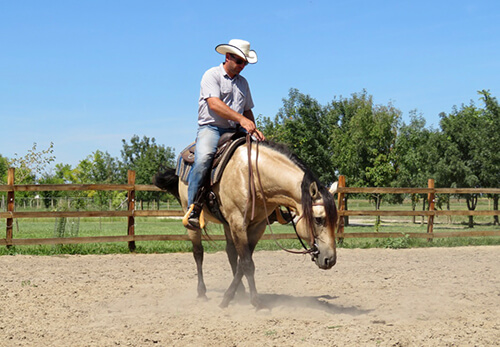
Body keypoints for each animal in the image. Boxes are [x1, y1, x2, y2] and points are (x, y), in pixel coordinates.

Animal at [154, 137, 338, 308]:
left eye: (335, 220)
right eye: (318, 219)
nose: (330, 260)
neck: (254, 178)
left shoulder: (257, 226)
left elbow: (243, 262)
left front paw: (232, 295)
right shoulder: (238, 223)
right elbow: (247, 263)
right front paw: (254, 301)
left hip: (227, 224)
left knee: (230, 253)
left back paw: (240, 291)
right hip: (193, 220)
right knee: (198, 253)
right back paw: (202, 292)